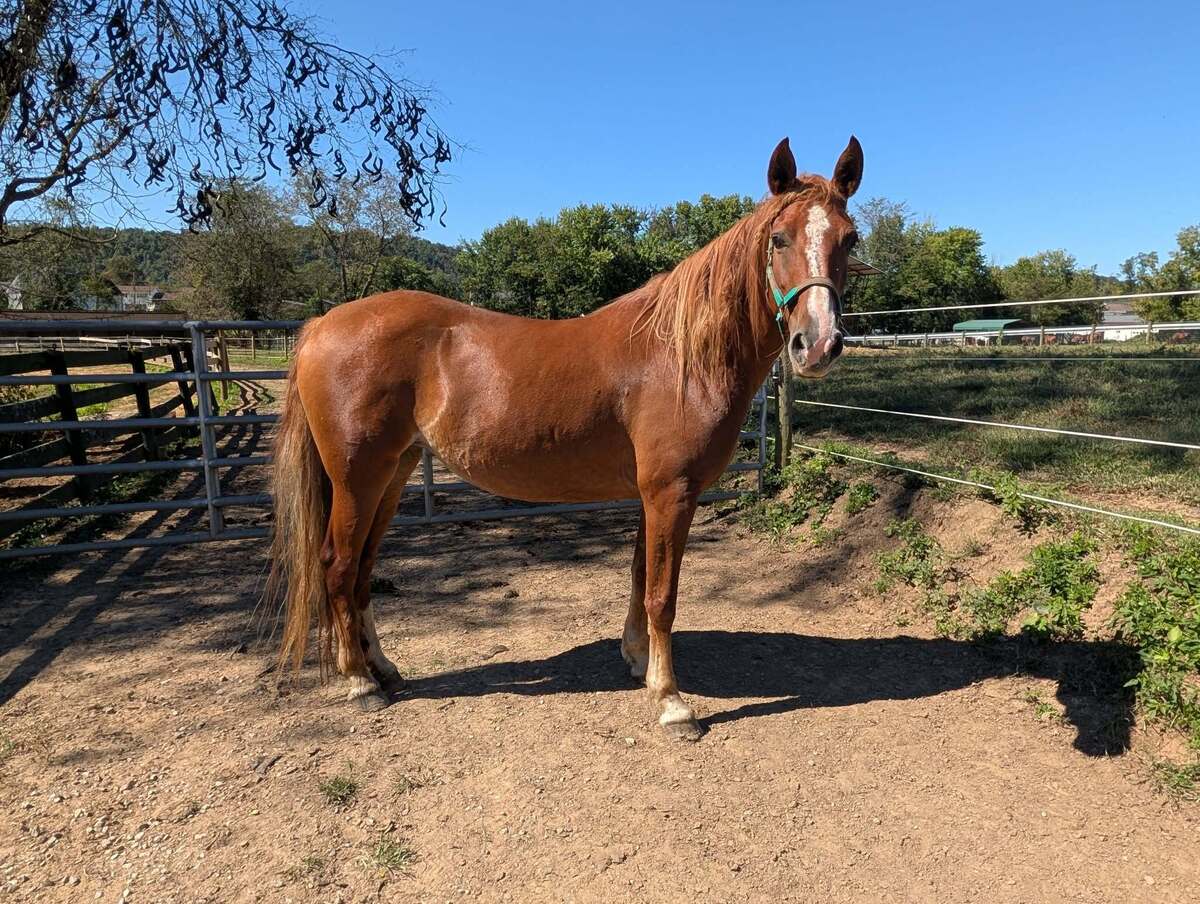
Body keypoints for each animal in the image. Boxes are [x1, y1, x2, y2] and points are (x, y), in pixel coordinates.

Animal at [268, 136, 863, 741]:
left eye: (849, 238)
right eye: (779, 238)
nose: (817, 345)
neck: (678, 355)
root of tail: (319, 326)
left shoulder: (651, 495)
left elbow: (639, 577)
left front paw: (638, 663)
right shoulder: (671, 492)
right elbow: (662, 596)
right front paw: (672, 703)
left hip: (393, 473)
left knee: (363, 570)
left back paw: (383, 669)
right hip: (357, 478)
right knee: (338, 566)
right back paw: (359, 683)